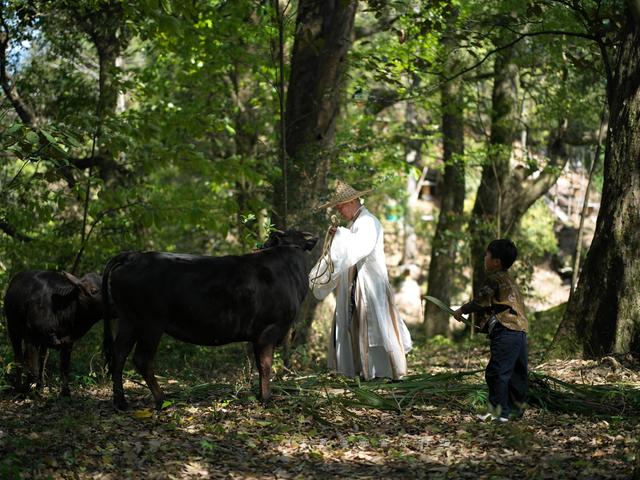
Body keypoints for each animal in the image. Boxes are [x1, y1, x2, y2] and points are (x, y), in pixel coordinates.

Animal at [103, 230, 320, 408]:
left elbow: (259, 365)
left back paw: (120, 402)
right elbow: (265, 366)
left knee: (119, 355)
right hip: (151, 323)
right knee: (142, 359)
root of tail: (133, 255)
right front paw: (266, 399)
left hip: (128, 320)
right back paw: (162, 400)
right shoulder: (270, 329)